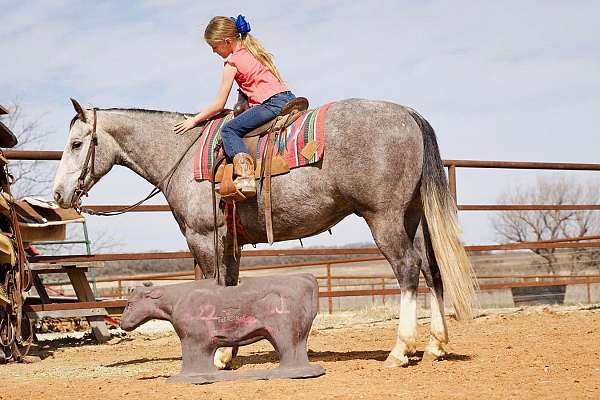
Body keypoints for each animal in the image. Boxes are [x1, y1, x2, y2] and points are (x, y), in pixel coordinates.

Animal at [51, 98, 476, 368]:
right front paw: (228, 351)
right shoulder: (230, 242)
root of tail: (408, 114)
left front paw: (217, 355)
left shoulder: (203, 238)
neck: (182, 156)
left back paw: (400, 350)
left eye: (76, 143)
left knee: (407, 269)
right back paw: (435, 346)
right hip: (412, 216)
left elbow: (213, 287)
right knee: (431, 270)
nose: (58, 194)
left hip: (384, 218)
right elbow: (230, 287)